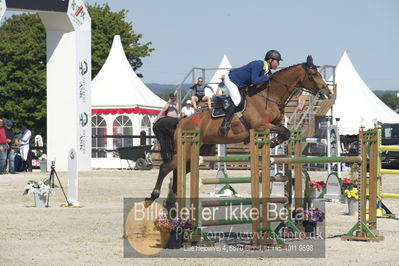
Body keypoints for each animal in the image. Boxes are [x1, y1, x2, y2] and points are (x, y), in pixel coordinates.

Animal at [147, 55, 332, 206]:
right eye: (313, 74)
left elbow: (285, 131)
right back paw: (154, 195)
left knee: (178, 171)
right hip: (186, 149)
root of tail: (181, 121)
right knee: (165, 167)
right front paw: (272, 143)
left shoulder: (275, 123)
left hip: (198, 152)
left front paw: (273, 143)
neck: (269, 96)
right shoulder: (260, 126)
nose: (328, 92)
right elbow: (283, 132)